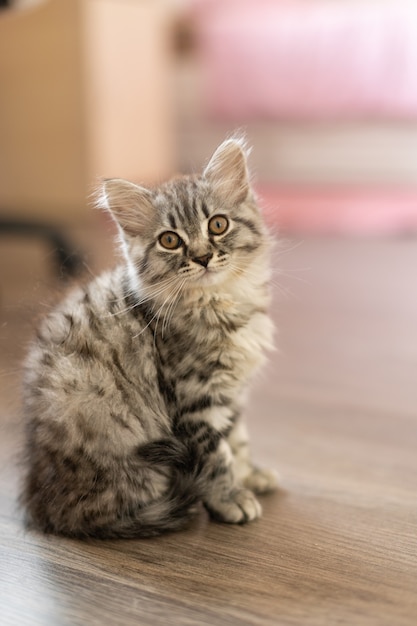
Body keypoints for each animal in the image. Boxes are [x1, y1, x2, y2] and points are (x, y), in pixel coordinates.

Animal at [21, 136, 278, 536]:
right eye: (170, 241)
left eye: (218, 225)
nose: (202, 257)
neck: (218, 301)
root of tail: (43, 505)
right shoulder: (195, 399)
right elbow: (217, 455)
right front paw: (230, 497)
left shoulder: (232, 393)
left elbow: (238, 439)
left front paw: (250, 475)